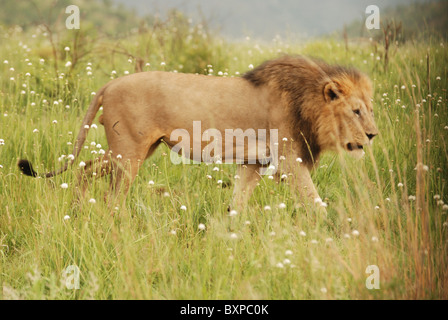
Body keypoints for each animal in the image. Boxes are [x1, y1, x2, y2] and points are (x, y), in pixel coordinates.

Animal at [20, 54, 378, 210]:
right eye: (356, 111)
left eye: (370, 108)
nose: (373, 135)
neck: (308, 103)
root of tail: (109, 84)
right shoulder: (291, 159)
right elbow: (315, 202)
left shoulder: (255, 162)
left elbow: (238, 201)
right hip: (130, 152)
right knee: (111, 194)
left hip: (133, 148)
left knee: (84, 169)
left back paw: (79, 210)